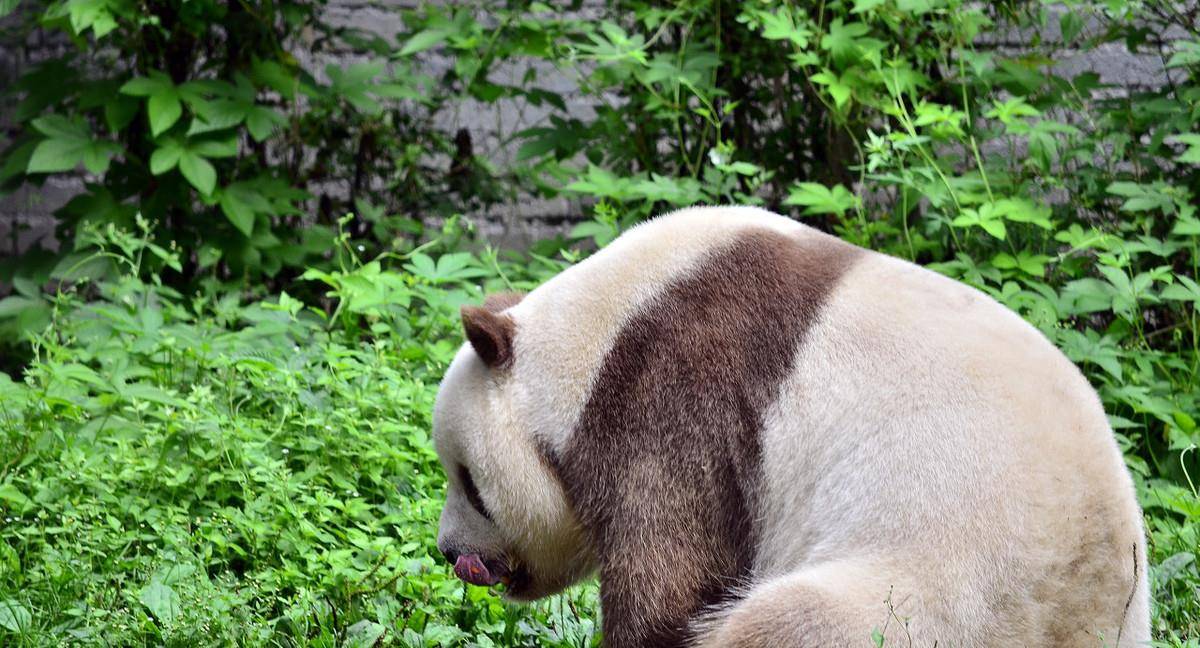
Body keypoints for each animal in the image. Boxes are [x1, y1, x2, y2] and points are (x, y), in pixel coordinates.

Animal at [434, 207, 1152, 648]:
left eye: (469, 482)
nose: (448, 552)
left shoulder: (680, 388)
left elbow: (672, 575)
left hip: (945, 591)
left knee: (794, 621)